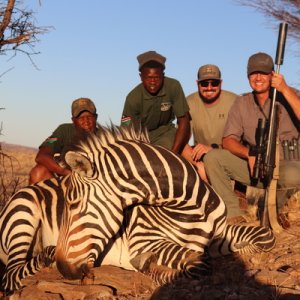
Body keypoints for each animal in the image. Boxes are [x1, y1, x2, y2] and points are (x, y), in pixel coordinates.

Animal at [54, 125, 276, 284]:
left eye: (73, 204)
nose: (63, 269)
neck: (191, 208)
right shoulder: (144, 240)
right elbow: (196, 265)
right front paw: (147, 265)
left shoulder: (218, 234)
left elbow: (266, 236)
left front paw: (241, 251)